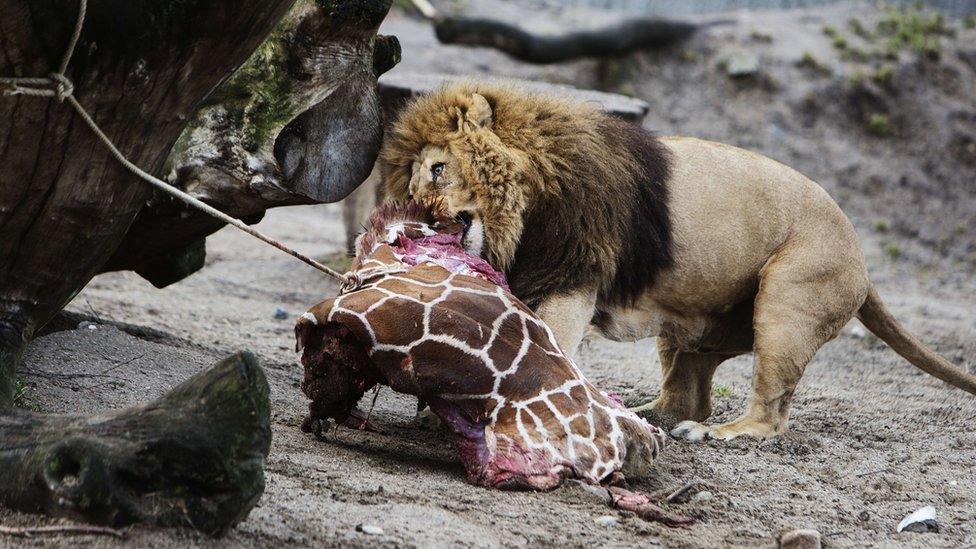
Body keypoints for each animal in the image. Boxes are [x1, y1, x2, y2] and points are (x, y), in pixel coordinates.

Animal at [376, 83, 976, 440]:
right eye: (411, 187)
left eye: (436, 171)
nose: (422, 219)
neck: (526, 205)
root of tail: (862, 259)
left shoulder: (572, 276)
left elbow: (546, 342)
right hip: (693, 327)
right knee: (687, 396)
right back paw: (645, 415)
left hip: (790, 299)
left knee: (769, 413)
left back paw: (720, 433)